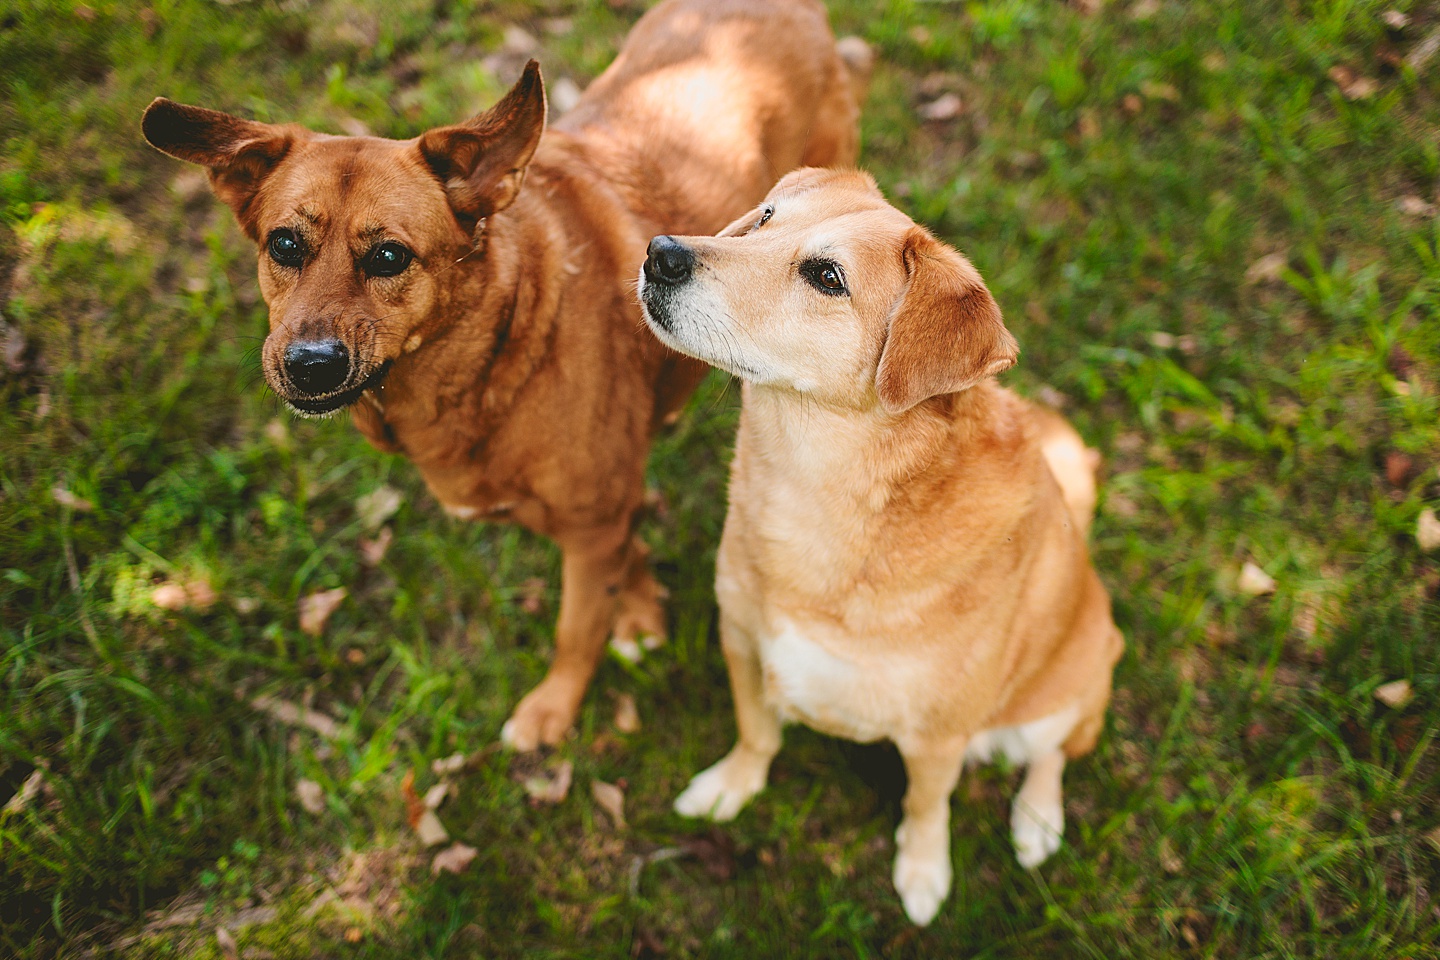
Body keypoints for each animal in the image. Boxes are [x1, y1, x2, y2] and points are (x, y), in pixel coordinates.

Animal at [140, 1, 869, 748]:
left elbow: (576, 629)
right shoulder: (600, 514)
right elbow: (626, 555)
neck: (495, 350)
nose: (310, 366)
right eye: (284, 245)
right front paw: (640, 607)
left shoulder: (591, 525)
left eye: (390, 257)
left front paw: (555, 707)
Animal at [642, 169, 1123, 926]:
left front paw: (924, 872)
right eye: (765, 218)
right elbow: (757, 733)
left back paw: (1038, 820)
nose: (659, 253)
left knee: (1052, 754)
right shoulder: (743, 644)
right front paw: (733, 785)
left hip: (1070, 689)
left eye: (826, 276)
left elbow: (927, 806)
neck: (817, 491)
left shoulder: (936, 736)